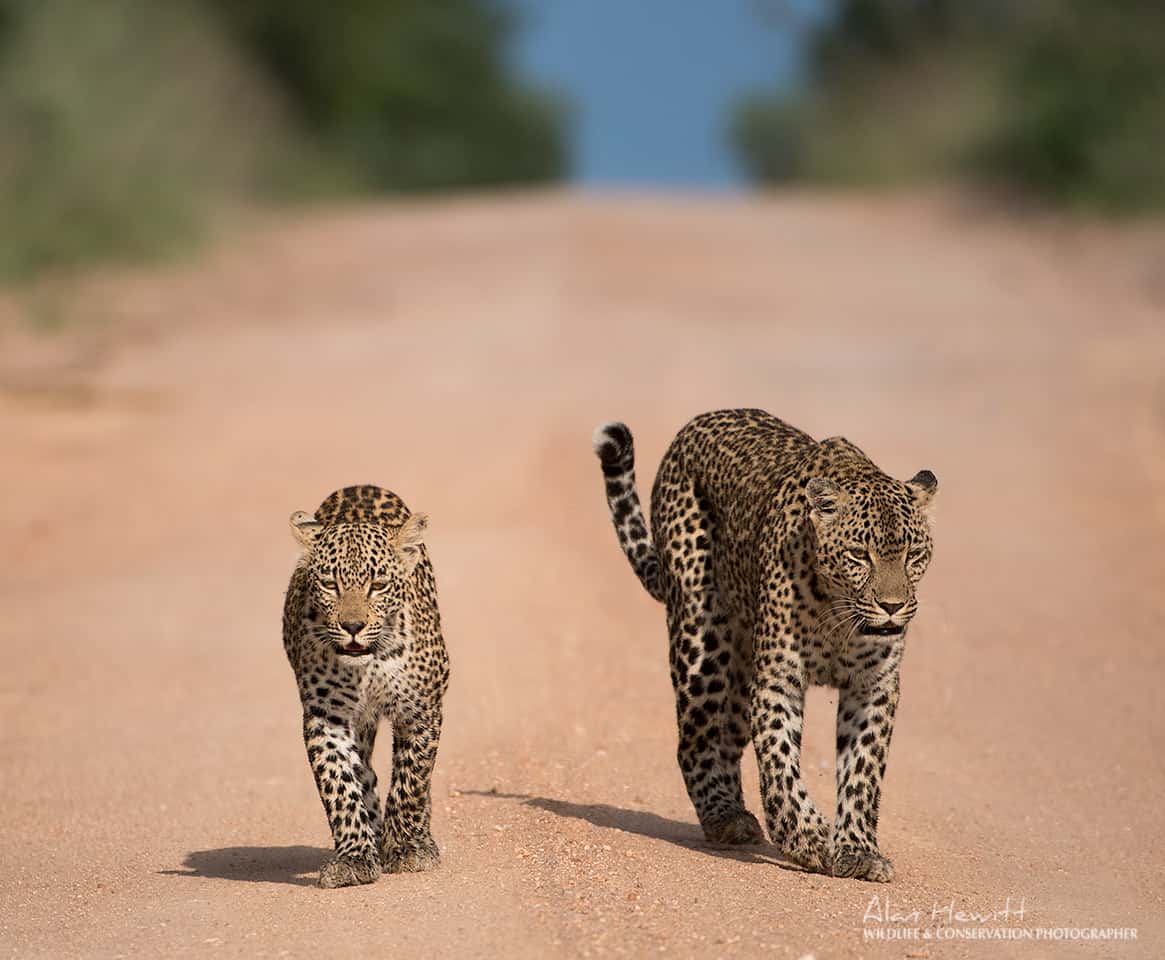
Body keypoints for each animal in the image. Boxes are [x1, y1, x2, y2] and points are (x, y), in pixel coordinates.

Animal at [279, 484, 447, 890]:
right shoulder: (326, 715)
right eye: (329, 584)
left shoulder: (422, 709)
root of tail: (360, 486)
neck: (368, 666)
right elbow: (339, 784)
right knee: (366, 771)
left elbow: (412, 780)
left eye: (378, 585)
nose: (353, 626)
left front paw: (406, 847)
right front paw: (354, 857)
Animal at [591, 407, 936, 880]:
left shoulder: (874, 687)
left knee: (724, 738)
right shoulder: (778, 678)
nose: (892, 606)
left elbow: (862, 771)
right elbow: (779, 761)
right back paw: (725, 819)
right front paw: (808, 840)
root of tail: (697, 423)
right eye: (859, 555)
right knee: (695, 740)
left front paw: (857, 850)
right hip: (702, 643)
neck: (838, 615)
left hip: (738, 676)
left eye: (914, 555)